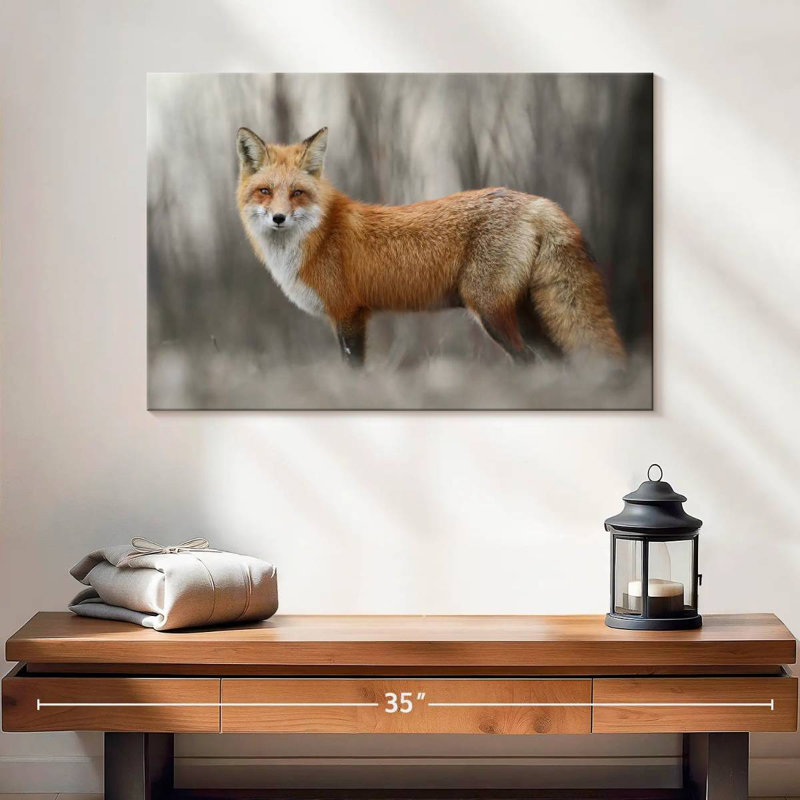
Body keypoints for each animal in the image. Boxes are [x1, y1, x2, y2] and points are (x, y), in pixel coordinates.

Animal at [236, 126, 625, 367]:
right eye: (265, 191)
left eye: (297, 193)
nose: (279, 218)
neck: (317, 237)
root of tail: (537, 201)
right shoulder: (346, 316)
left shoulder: (349, 313)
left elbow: (354, 370)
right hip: (528, 316)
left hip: (491, 311)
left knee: (527, 359)